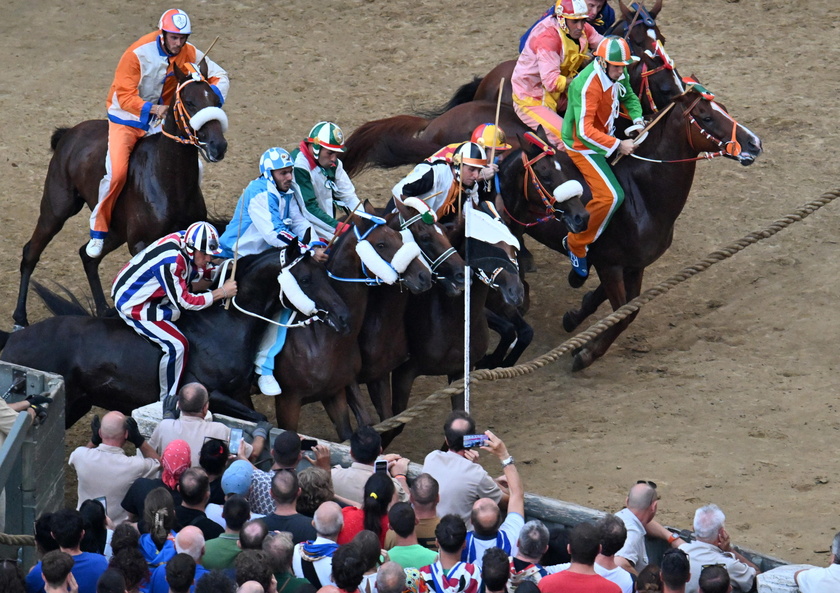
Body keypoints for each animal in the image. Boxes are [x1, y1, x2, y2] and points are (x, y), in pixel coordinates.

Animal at [0, 238, 348, 428]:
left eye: (324, 272)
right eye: (305, 278)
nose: (343, 316)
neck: (225, 326)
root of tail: (13, 338)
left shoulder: (239, 391)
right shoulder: (208, 393)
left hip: (74, 404)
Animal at [13, 60, 230, 328]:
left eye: (216, 100)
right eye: (190, 102)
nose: (218, 146)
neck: (170, 181)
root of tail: (70, 133)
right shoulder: (140, 243)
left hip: (115, 229)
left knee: (88, 256)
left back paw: (103, 310)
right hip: (57, 209)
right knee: (31, 253)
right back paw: (20, 317)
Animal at [272, 206, 434, 442]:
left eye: (399, 237)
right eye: (381, 244)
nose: (424, 276)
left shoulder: (362, 380)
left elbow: (381, 424)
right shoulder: (292, 398)